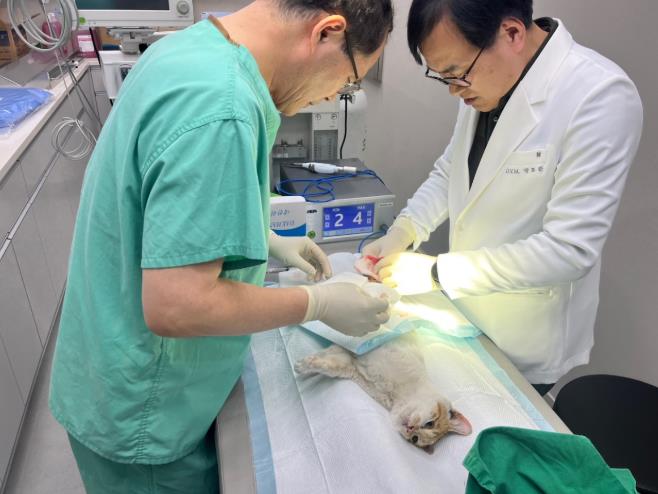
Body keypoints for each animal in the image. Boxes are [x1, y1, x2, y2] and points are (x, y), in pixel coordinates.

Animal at [294, 332, 472, 453]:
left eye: (414, 440)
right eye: (430, 423)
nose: (410, 429)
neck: (393, 396)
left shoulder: (349, 365)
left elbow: (328, 364)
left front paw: (303, 366)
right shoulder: (361, 349)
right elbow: (332, 349)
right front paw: (302, 365)